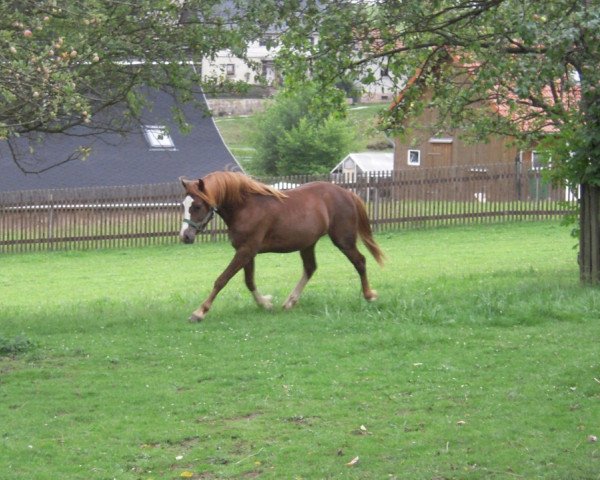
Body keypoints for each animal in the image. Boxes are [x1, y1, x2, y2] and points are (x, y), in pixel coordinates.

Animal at [178, 171, 384, 320]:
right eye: (183, 204)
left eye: (197, 206)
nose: (185, 236)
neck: (245, 207)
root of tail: (347, 193)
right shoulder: (246, 252)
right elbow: (249, 281)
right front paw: (266, 304)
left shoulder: (246, 251)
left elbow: (222, 279)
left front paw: (199, 312)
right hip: (308, 243)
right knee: (310, 268)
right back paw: (290, 302)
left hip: (343, 240)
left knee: (360, 261)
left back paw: (369, 295)